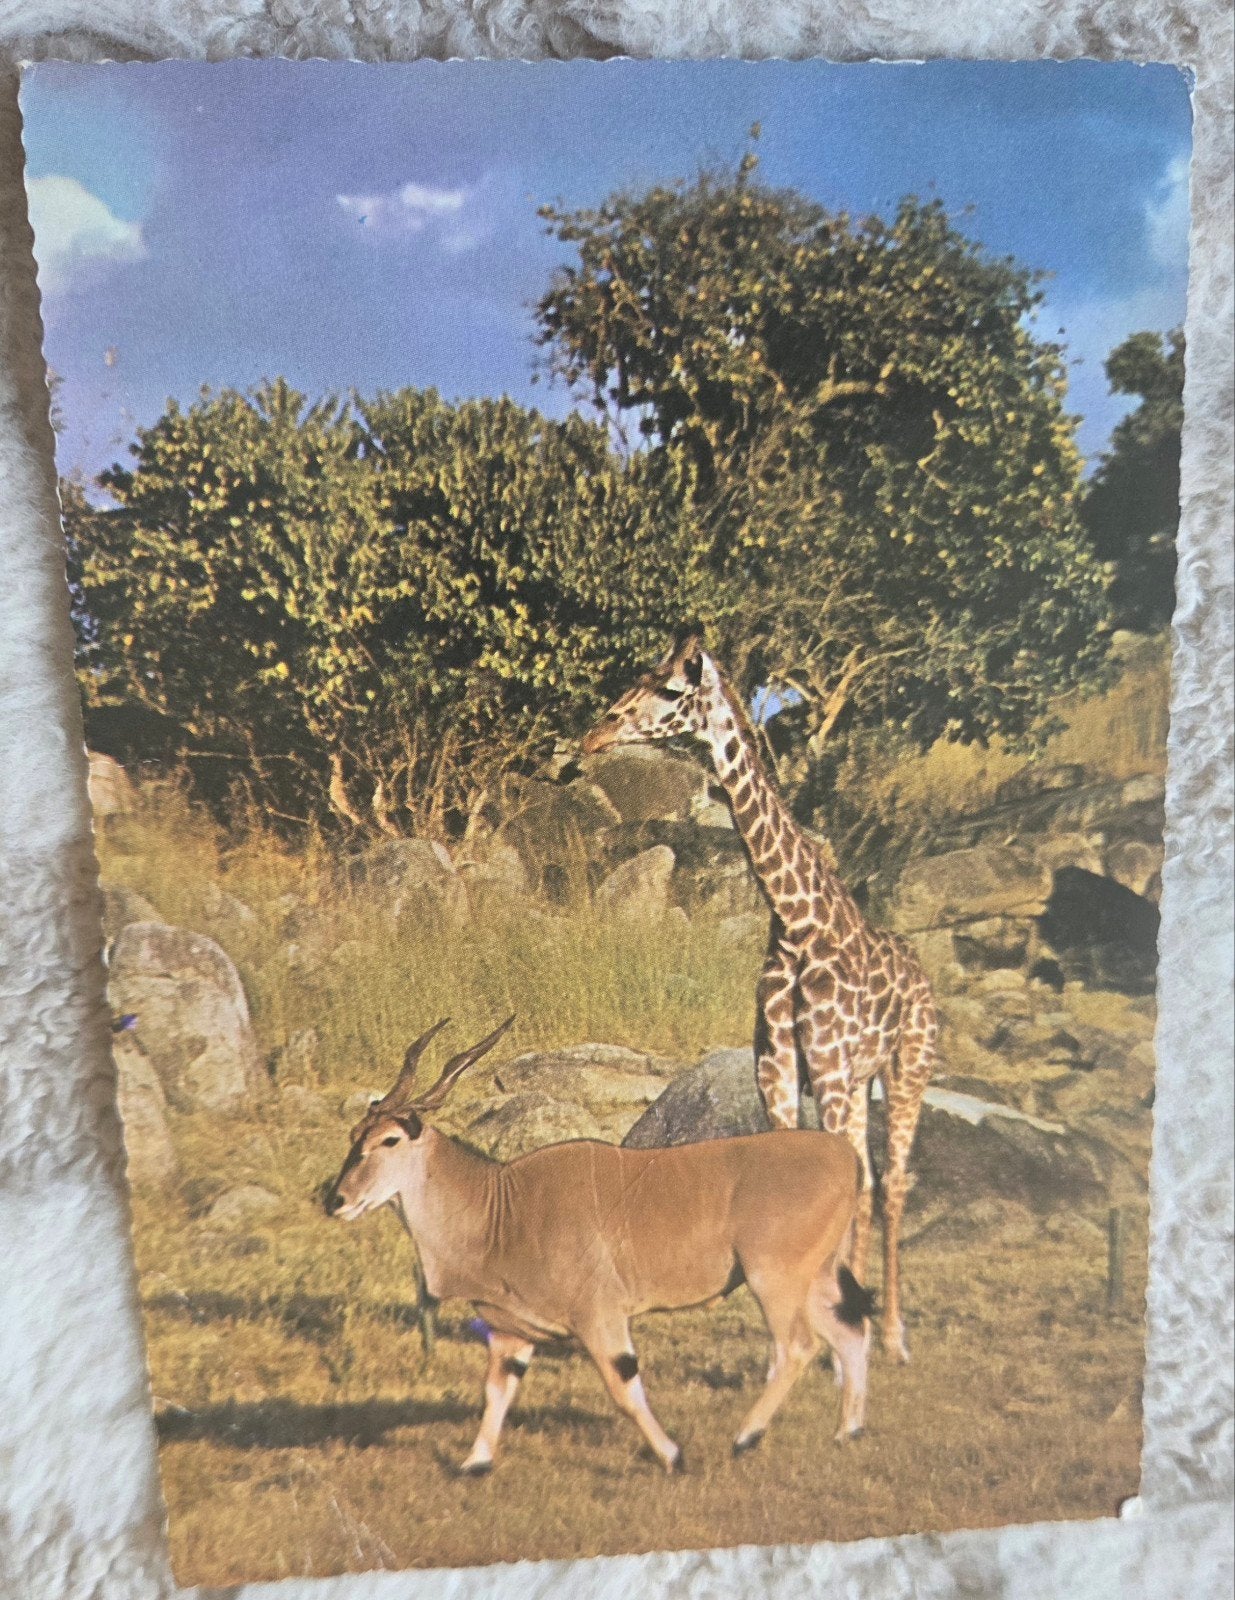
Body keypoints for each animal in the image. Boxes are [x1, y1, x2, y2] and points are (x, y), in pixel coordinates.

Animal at [583, 632, 936, 1361]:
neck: (796, 923)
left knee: (889, 1186)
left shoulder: (824, 1070)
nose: (595, 734)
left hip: (905, 1069)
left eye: (668, 687)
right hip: (859, 1080)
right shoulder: (780, 1070)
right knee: (864, 1185)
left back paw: (891, 1335)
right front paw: (797, 1339)